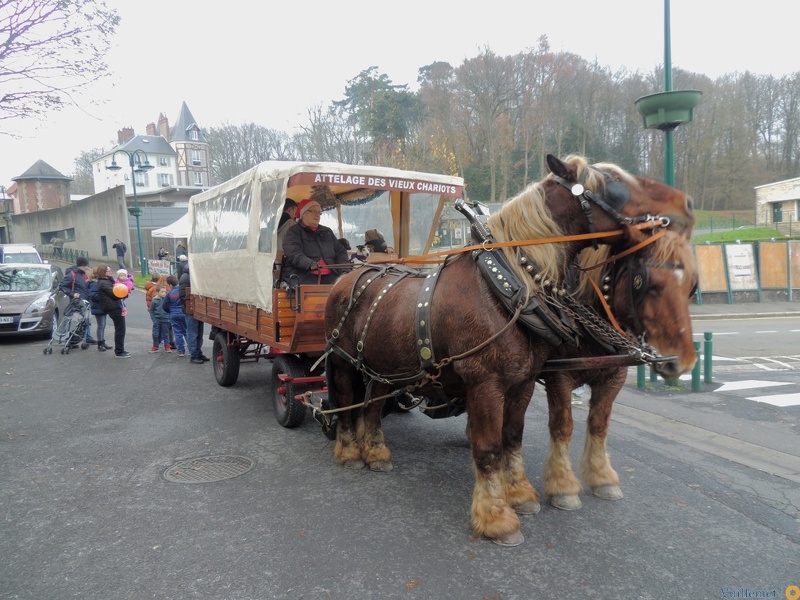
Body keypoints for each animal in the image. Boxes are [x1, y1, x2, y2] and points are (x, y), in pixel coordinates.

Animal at [540, 230, 696, 510]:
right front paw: (562, 485)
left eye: (692, 286)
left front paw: (602, 477)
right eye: (649, 285)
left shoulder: (614, 377)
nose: (684, 362)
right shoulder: (558, 376)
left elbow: (599, 424)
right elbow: (562, 426)